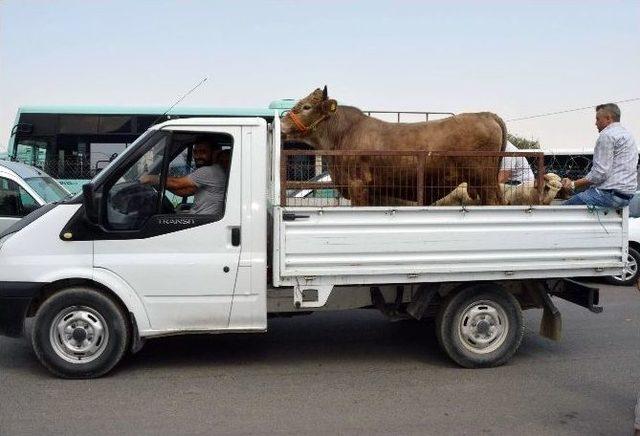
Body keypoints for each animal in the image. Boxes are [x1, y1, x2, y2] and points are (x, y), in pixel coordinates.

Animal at [282, 87, 508, 207]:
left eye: (306, 107)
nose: (282, 122)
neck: (343, 135)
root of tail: (485, 114)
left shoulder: (357, 185)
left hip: (483, 179)